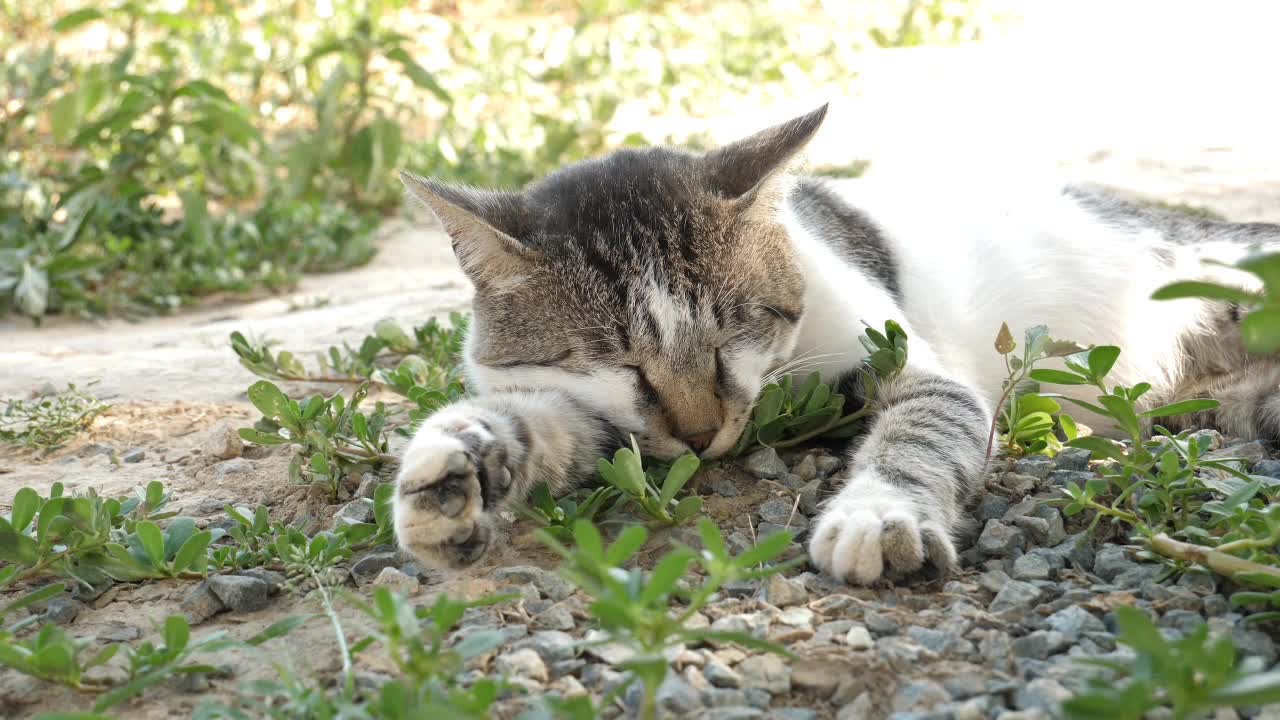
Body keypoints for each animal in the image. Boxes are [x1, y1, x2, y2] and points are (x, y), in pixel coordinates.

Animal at [394, 102, 1274, 584]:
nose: (703, 434)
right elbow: (542, 423)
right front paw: (454, 466)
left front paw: (878, 513)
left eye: (732, 332)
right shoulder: (616, 426)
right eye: (617, 363)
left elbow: (921, 434)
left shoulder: (915, 369)